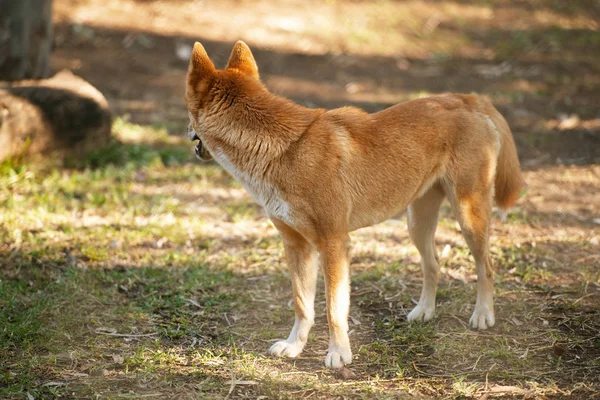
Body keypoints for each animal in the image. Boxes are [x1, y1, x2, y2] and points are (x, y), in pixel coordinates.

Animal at [185, 40, 524, 368]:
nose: (187, 133)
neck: (286, 150)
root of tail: (465, 98)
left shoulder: (334, 245)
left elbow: (334, 309)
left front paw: (338, 354)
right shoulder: (297, 246)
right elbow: (302, 305)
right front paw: (295, 347)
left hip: (469, 216)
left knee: (486, 267)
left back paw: (483, 314)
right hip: (418, 223)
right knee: (434, 264)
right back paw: (424, 311)